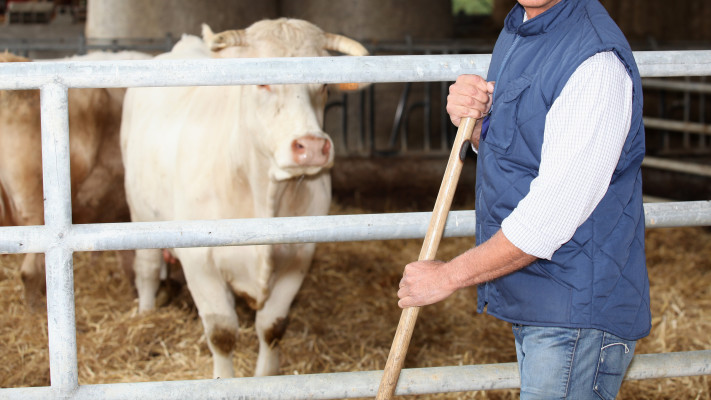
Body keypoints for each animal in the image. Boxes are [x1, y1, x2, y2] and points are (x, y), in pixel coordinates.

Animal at [120, 18, 370, 378]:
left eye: (324, 84)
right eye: (262, 81)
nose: (310, 146)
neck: (264, 192)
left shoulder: (299, 257)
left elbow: (272, 327)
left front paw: (267, 375)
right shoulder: (200, 263)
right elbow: (222, 333)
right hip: (141, 213)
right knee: (148, 268)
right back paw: (146, 313)